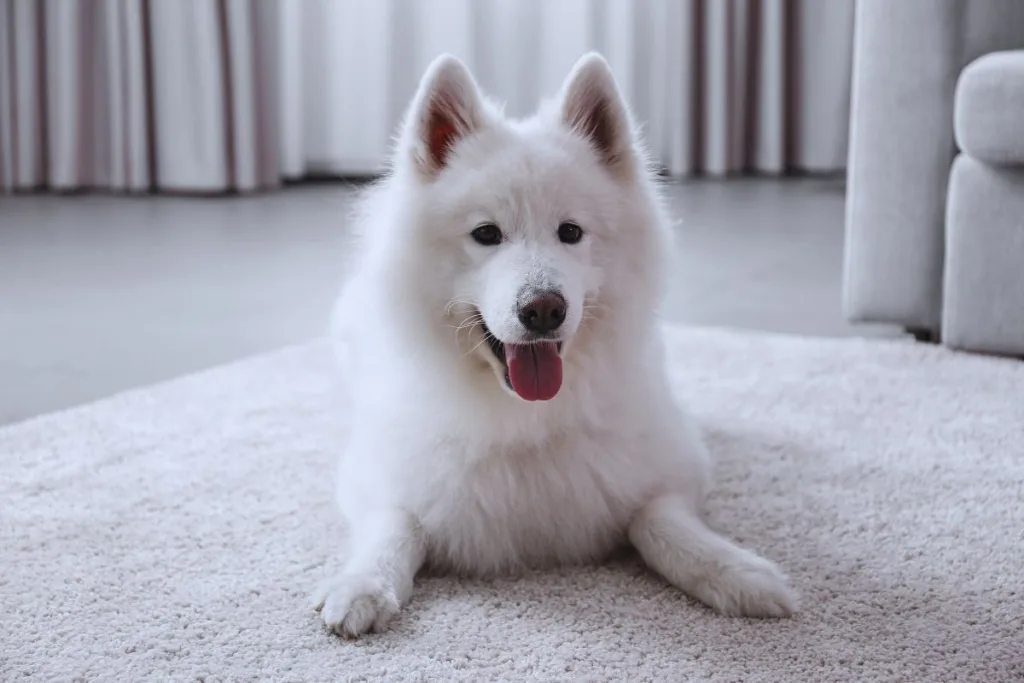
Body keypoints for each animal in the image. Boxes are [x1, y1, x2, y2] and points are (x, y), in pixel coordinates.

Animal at [315, 52, 794, 634]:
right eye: (486, 234)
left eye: (570, 232)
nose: (544, 309)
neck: (527, 417)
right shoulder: (374, 476)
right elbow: (396, 527)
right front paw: (362, 587)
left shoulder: (676, 466)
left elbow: (657, 520)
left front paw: (739, 573)